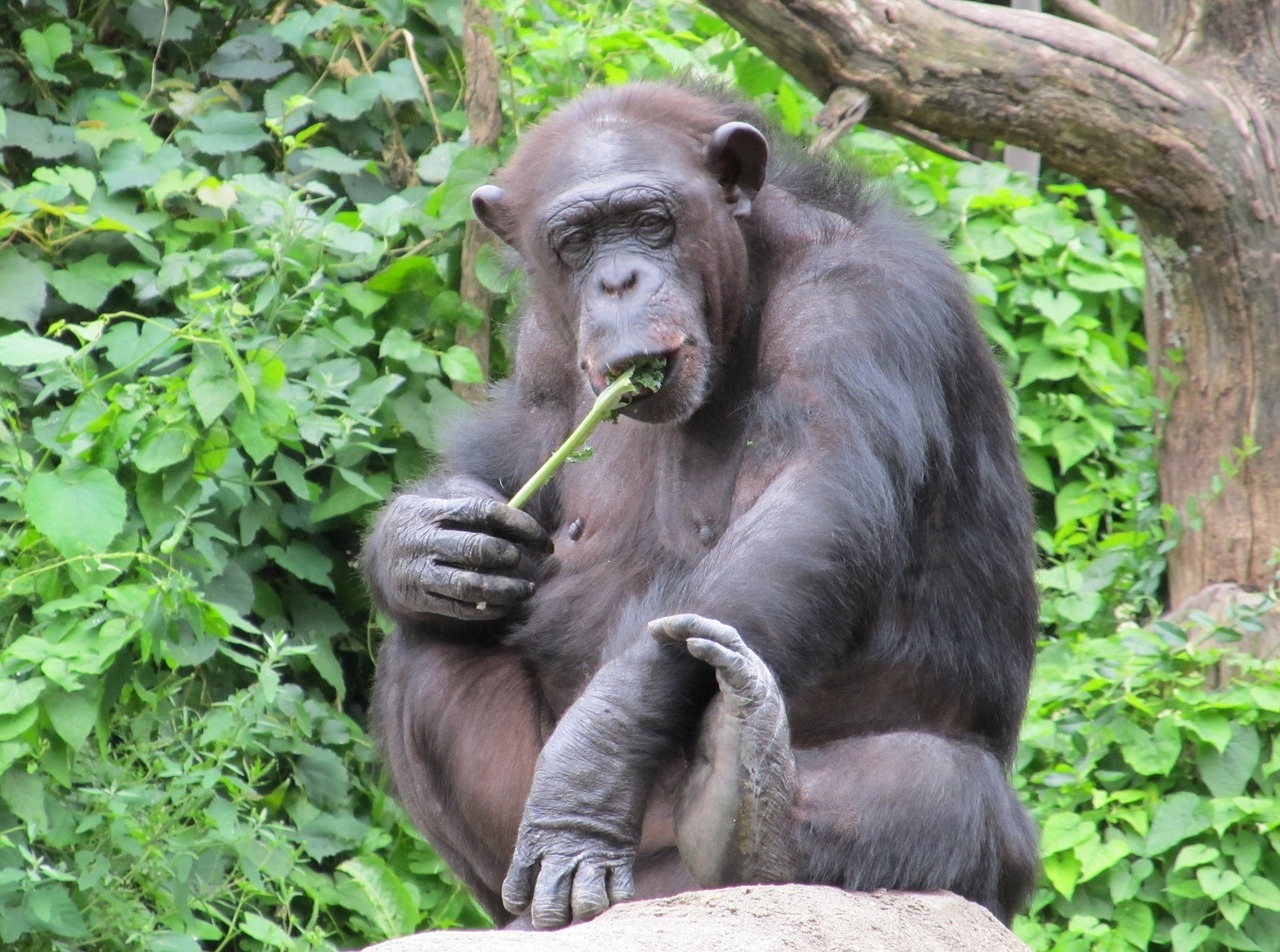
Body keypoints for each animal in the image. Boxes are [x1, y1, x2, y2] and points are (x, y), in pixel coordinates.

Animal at [360, 81, 1039, 931]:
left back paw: (747, 811)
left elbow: (812, 501)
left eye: (651, 221)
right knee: (433, 635)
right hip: (529, 870)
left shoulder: (858, 304)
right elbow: (517, 446)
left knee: (938, 786)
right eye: (576, 242)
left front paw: (591, 765)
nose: (618, 281)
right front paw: (418, 538)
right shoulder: (544, 341)